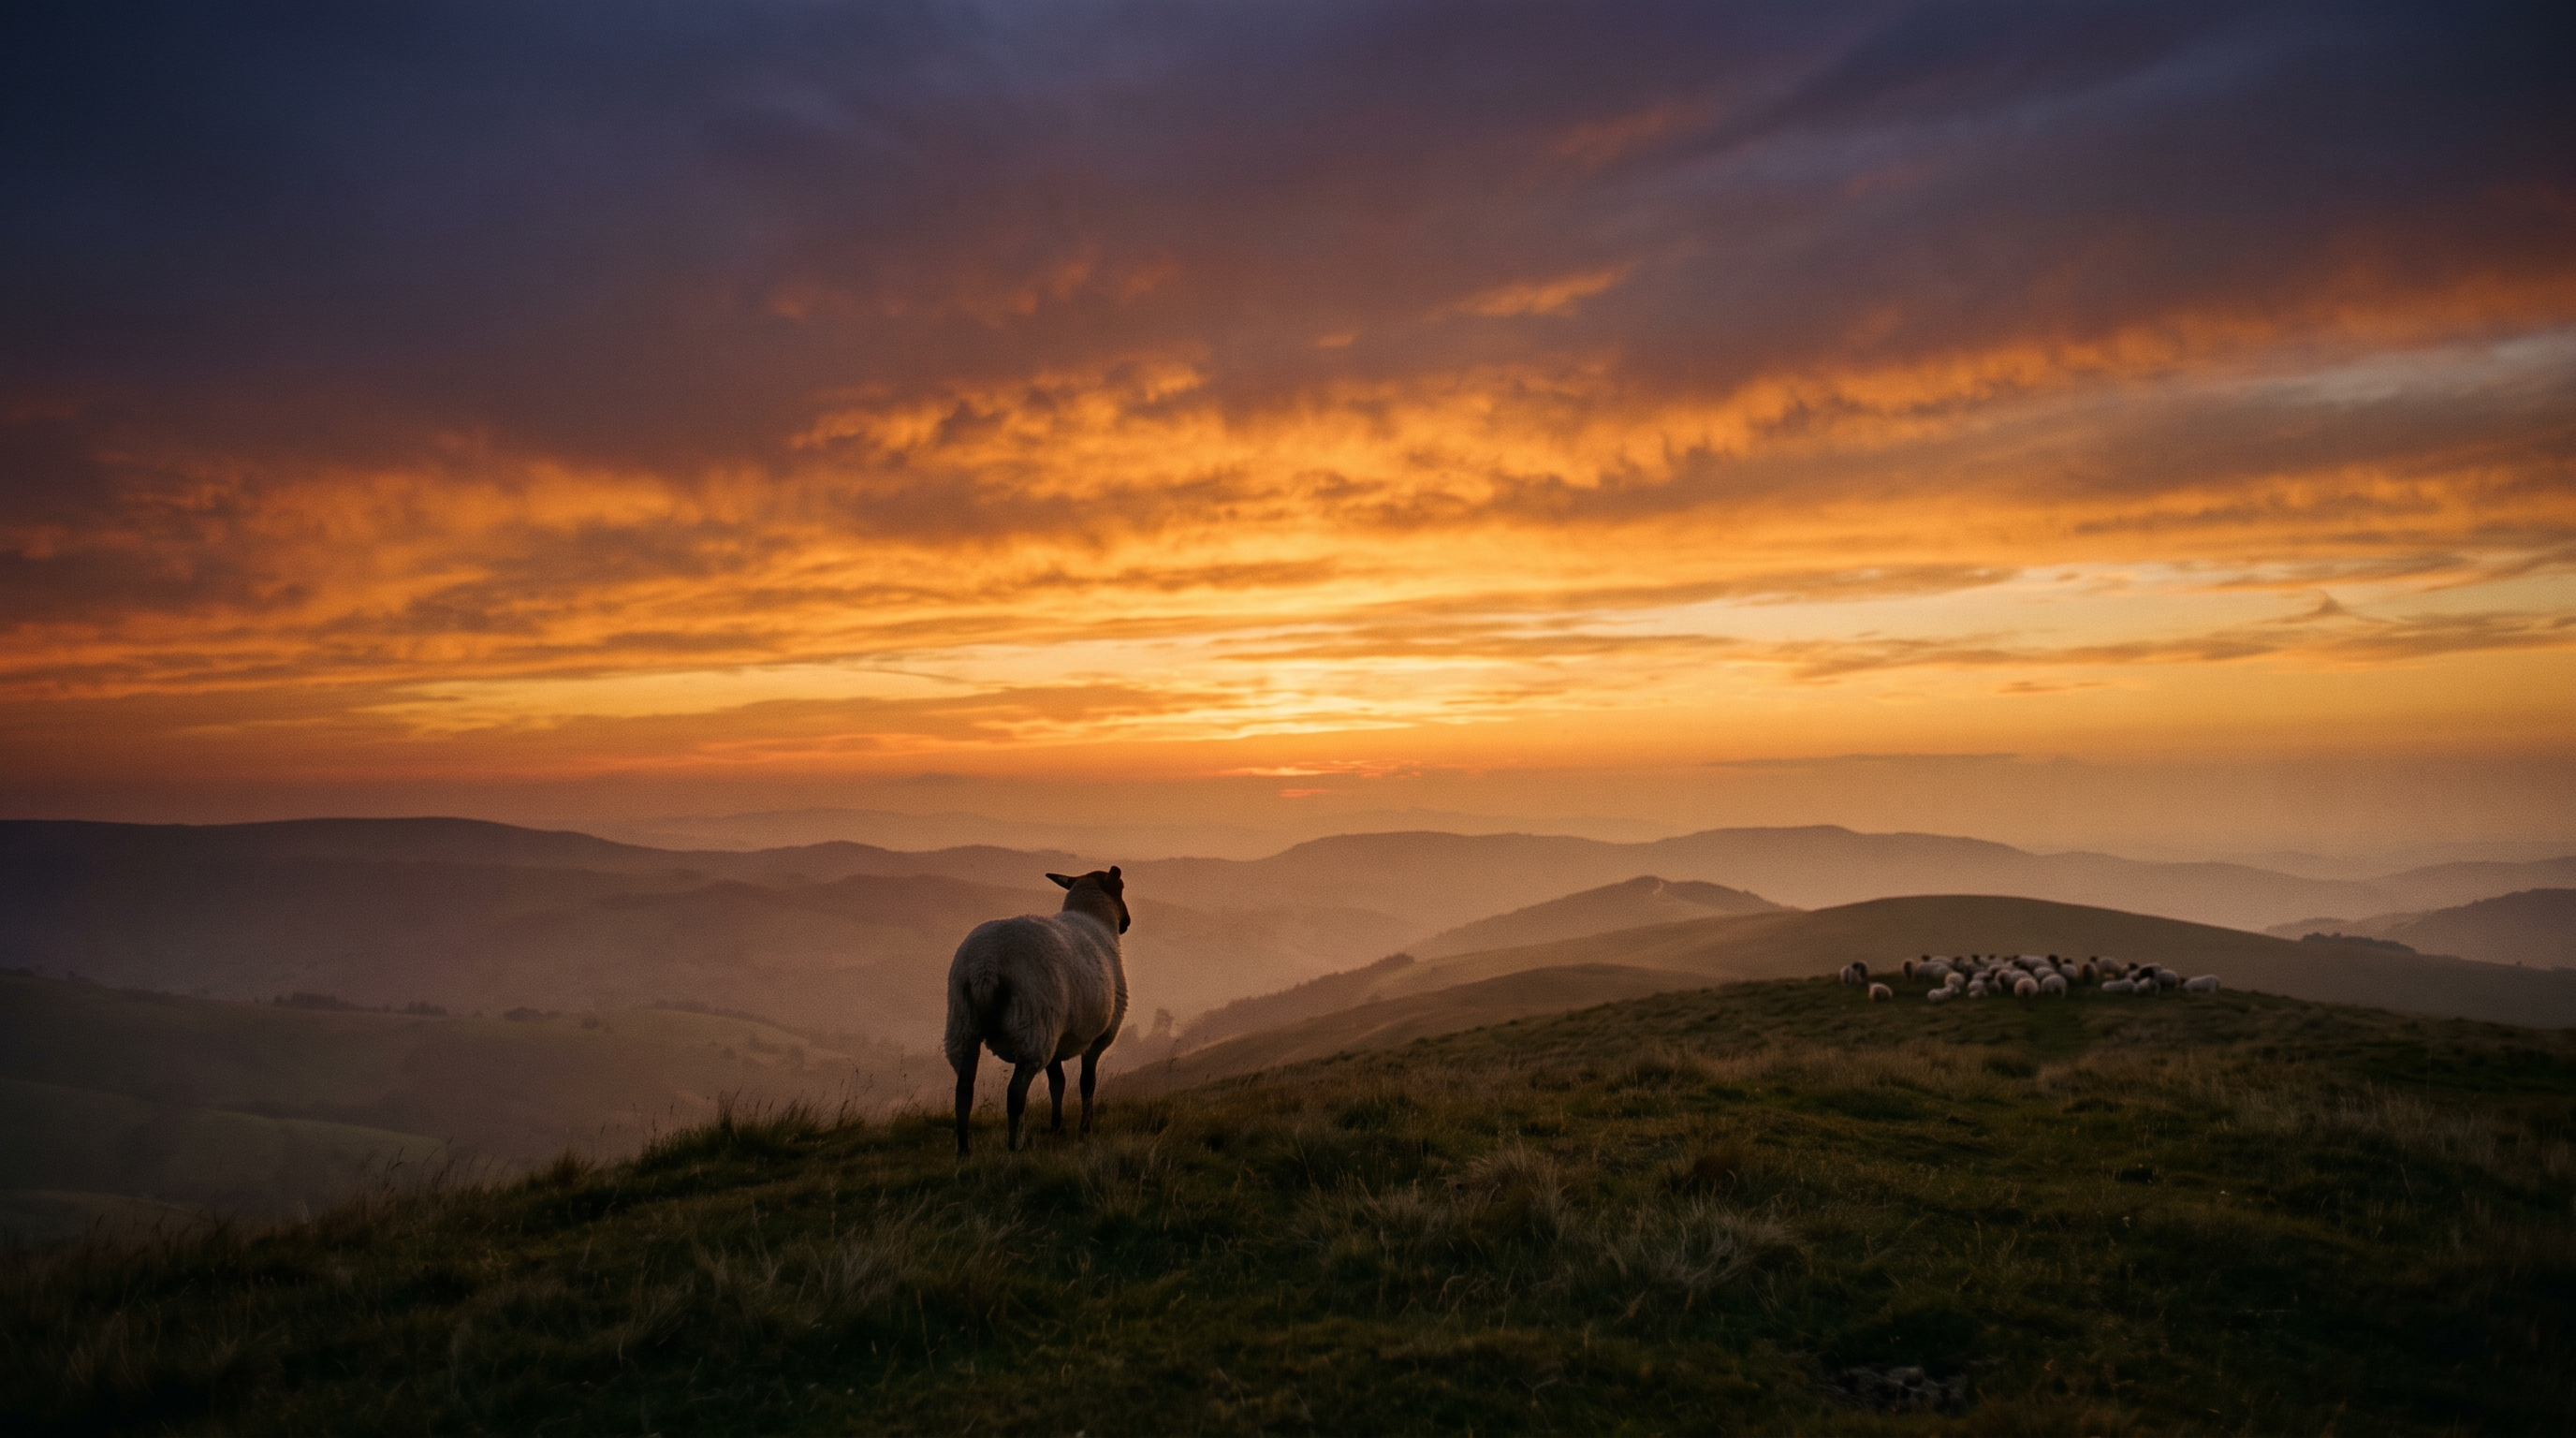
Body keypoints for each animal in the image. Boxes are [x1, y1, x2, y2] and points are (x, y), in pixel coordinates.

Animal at [945, 867, 1132, 1155]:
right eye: (1120, 888)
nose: (1127, 923)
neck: (1096, 918)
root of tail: (985, 965)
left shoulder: (1059, 1036)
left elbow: (1058, 1083)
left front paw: (1057, 1127)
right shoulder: (1099, 1037)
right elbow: (1086, 1084)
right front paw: (1085, 1128)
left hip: (963, 1024)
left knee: (964, 1090)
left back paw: (964, 1152)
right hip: (1034, 1024)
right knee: (1015, 1094)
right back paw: (1016, 1146)